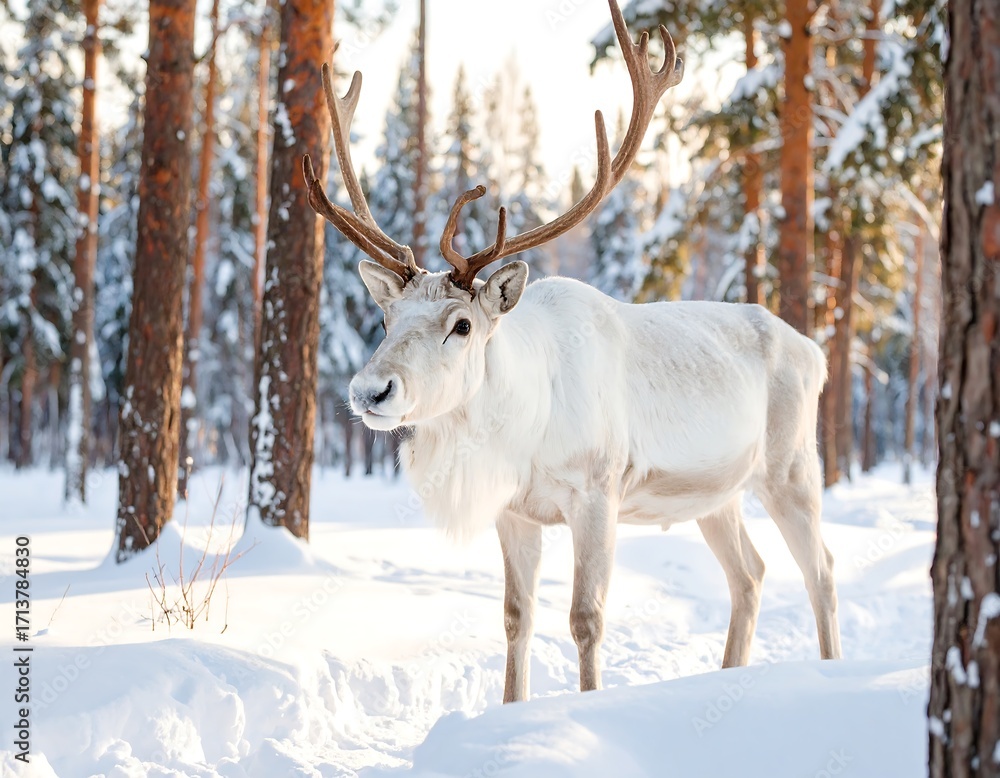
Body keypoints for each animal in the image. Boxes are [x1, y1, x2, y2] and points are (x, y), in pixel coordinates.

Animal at [301, 0, 842, 703]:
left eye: (462, 325)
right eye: (387, 316)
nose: (370, 391)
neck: (525, 427)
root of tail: (816, 352)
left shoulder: (597, 492)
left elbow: (586, 617)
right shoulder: (514, 512)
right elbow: (515, 617)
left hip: (791, 467)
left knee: (822, 569)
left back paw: (832, 668)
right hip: (717, 495)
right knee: (749, 573)